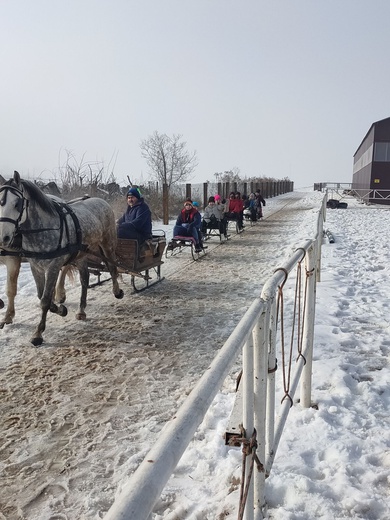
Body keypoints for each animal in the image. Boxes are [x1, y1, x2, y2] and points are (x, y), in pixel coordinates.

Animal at [0, 173, 123, 348]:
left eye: (17, 204)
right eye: (0, 202)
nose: (4, 238)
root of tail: (100, 200)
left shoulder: (50, 265)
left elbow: (43, 300)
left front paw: (38, 333)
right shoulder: (35, 266)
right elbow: (41, 295)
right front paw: (60, 309)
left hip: (107, 243)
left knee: (112, 267)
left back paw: (117, 291)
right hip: (80, 254)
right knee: (84, 278)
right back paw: (80, 309)